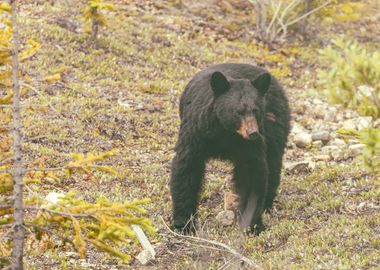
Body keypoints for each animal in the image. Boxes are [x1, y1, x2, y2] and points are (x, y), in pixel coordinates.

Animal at [170, 62, 290, 234]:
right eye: (238, 112)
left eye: (256, 110)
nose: (253, 133)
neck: (226, 132)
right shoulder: (197, 132)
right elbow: (187, 167)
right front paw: (184, 223)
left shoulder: (249, 145)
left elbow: (252, 173)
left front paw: (252, 224)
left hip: (274, 123)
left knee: (273, 161)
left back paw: (267, 204)